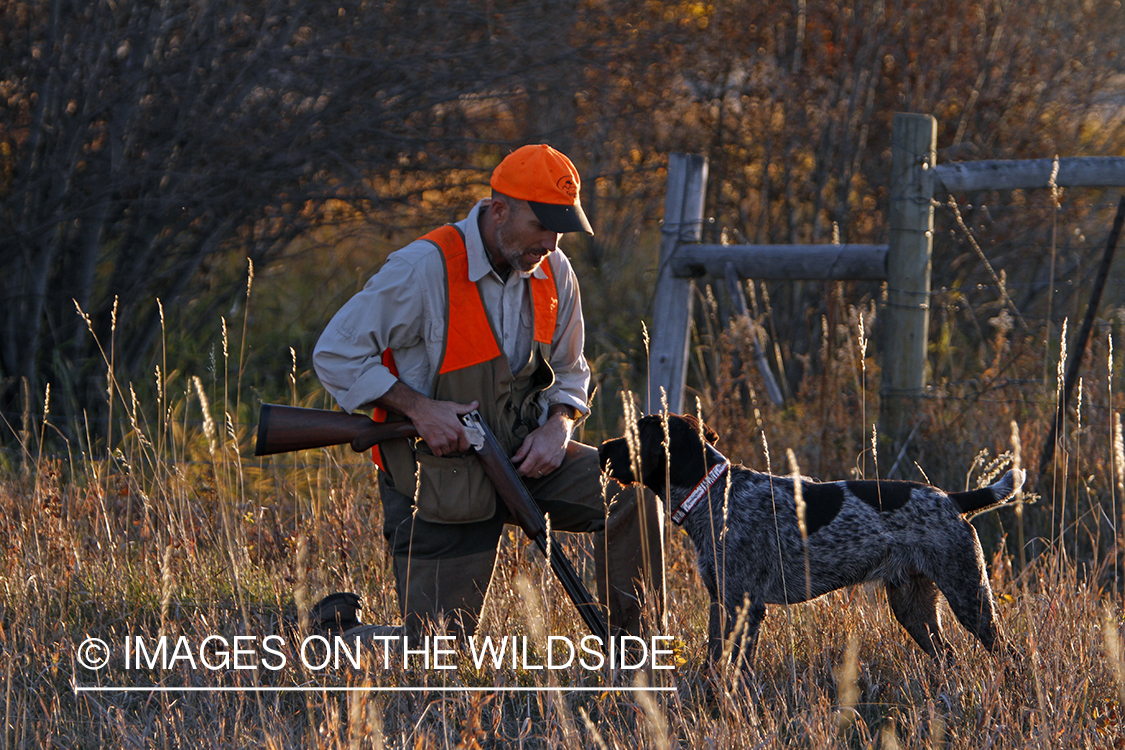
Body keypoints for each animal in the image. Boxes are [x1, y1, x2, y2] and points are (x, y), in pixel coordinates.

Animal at [603, 416, 1026, 670]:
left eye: (635, 434)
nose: (603, 448)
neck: (713, 495)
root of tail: (951, 499)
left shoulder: (745, 607)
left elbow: (735, 671)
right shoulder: (720, 603)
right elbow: (714, 663)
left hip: (970, 597)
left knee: (1010, 654)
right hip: (914, 608)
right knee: (949, 658)